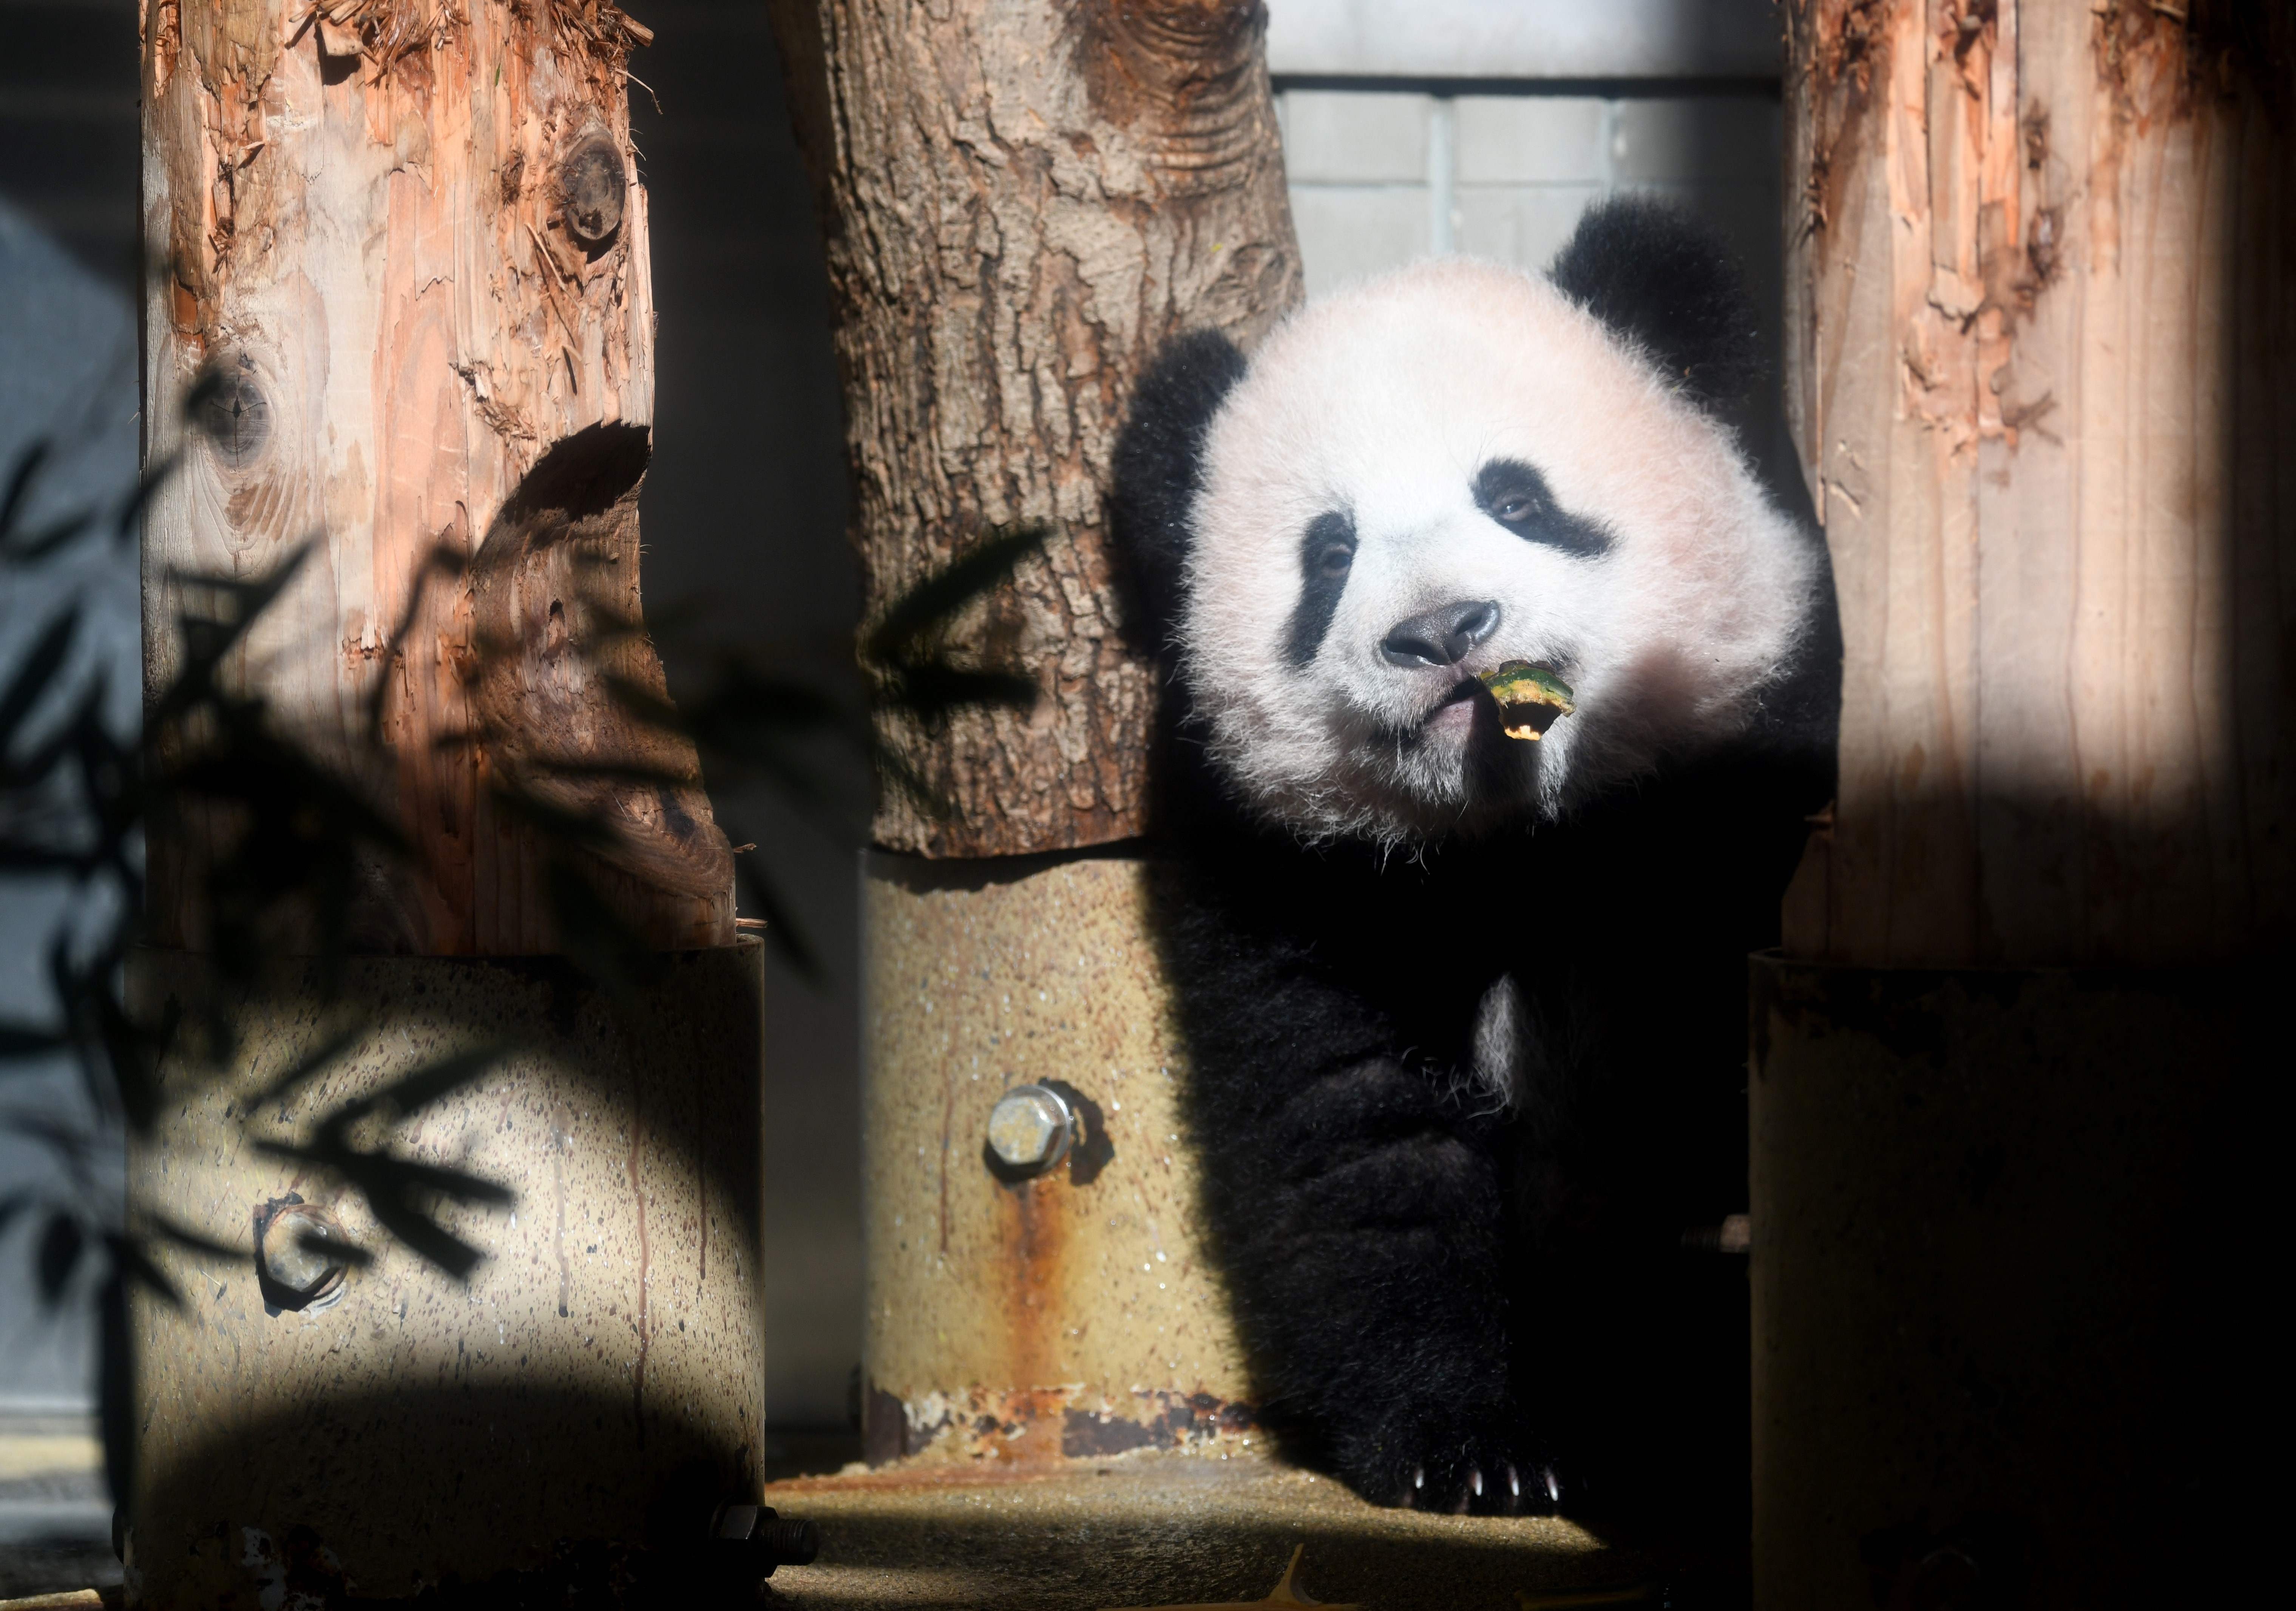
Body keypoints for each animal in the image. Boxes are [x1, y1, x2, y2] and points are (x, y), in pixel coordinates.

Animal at [1110, 197, 1840, 1523]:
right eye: (1329, 553)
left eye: (1518, 499)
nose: (1444, 631)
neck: (1507, 840)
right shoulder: (1298, 875)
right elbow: (1355, 1128)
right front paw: (1474, 1445)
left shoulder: (1739, 769)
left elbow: (1661, 1102)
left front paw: (1642, 1418)